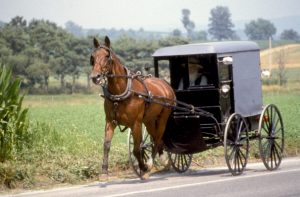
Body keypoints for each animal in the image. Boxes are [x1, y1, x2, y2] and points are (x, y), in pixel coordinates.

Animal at [90, 36, 177, 179]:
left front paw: (143, 167)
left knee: (158, 138)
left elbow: (136, 149)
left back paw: (153, 162)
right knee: (155, 138)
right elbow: (106, 145)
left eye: (107, 56)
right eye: (92, 57)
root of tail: (165, 84)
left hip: (163, 117)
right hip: (149, 120)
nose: (95, 77)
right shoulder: (110, 121)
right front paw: (104, 171)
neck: (121, 93)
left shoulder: (135, 123)